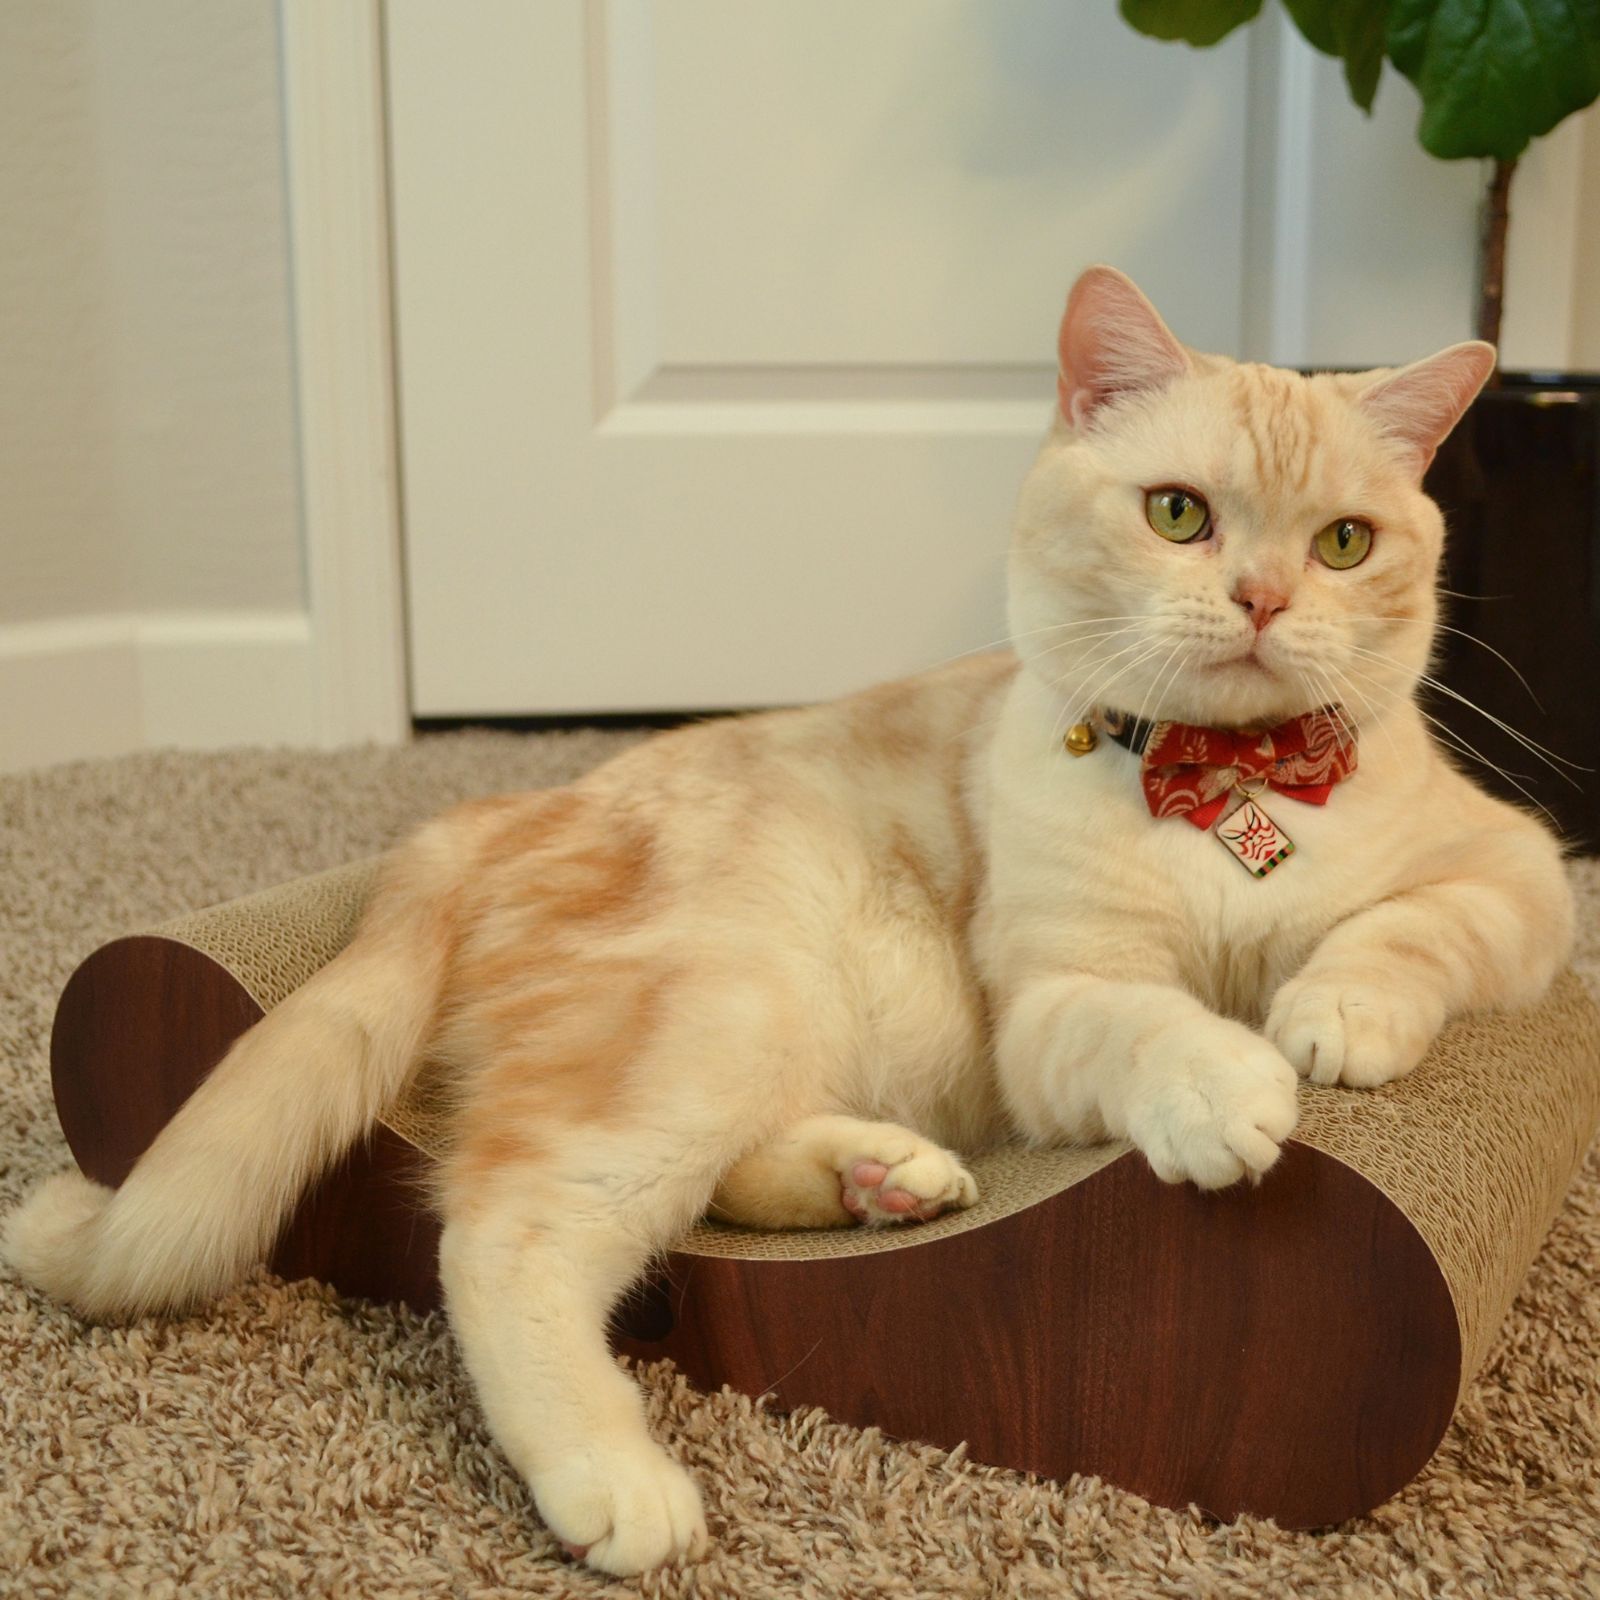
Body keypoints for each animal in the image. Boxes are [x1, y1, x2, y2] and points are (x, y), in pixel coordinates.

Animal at [3, 268, 1574, 1568]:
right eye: (1178, 512)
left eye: (1346, 542)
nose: (1259, 597)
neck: (1223, 795)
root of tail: (483, 816)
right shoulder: (1057, 1008)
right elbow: (1155, 1025)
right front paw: (1229, 1084)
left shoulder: (1524, 875)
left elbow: (1405, 930)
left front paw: (1333, 1012)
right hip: (723, 1005)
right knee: (508, 1222)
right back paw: (616, 1479)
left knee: (710, 1183)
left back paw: (883, 1179)